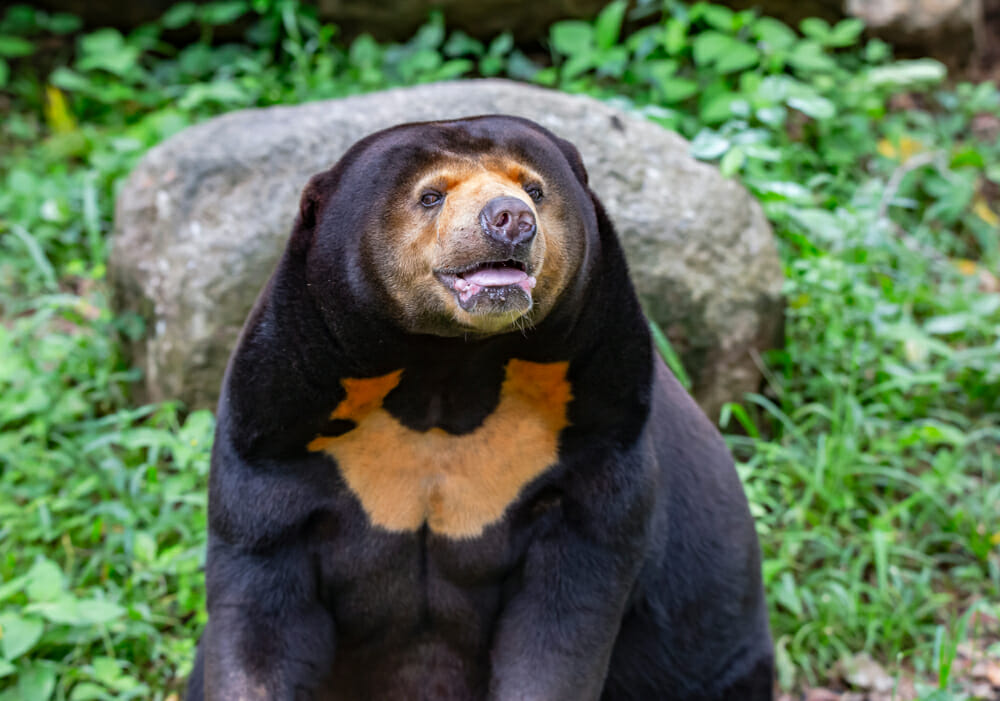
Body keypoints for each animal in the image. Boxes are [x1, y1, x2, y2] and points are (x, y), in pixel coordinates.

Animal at [186, 116, 772, 700]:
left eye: (534, 188)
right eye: (430, 195)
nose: (511, 219)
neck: (446, 374)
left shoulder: (601, 429)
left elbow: (563, 623)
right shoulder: (277, 428)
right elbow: (260, 611)